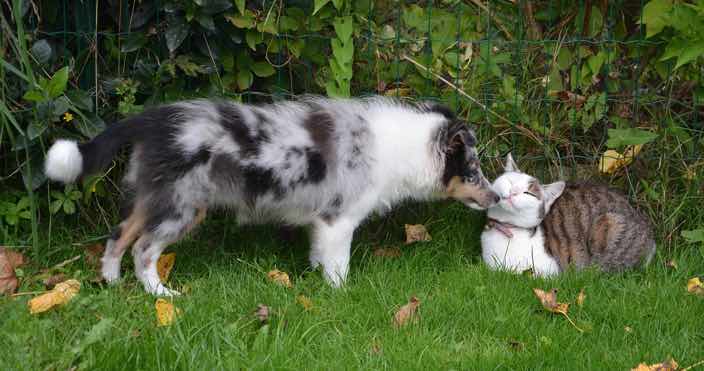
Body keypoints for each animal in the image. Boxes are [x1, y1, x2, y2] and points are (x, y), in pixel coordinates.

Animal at [44, 96, 498, 296]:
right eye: (473, 171)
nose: (495, 198)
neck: (397, 147)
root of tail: (152, 120)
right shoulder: (339, 220)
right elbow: (339, 265)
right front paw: (340, 296)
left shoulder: (322, 222)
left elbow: (319, 254)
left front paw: (315, 275)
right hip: (182, 206)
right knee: (143, 249)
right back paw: (161, 295)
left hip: (150, 196)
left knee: (118, 236)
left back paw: (112, 282)